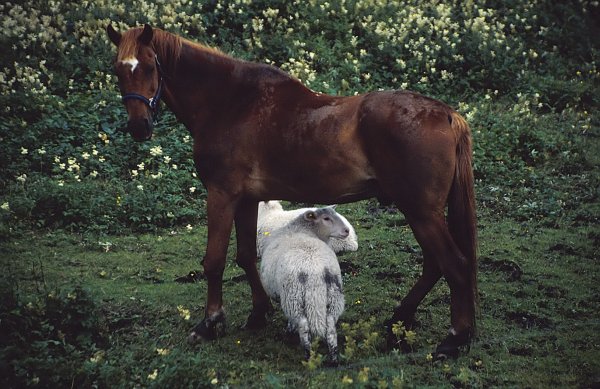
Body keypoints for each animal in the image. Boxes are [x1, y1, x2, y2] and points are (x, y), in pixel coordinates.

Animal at [260, 206, 350, 364]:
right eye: (326, 218)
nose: (347, 231)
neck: (301, 228)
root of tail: (315, 271)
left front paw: (289, 329)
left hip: (293, 297)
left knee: (303, 325)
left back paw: (307, 354)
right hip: (334, 295)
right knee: (331, 327)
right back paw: (334, 358)